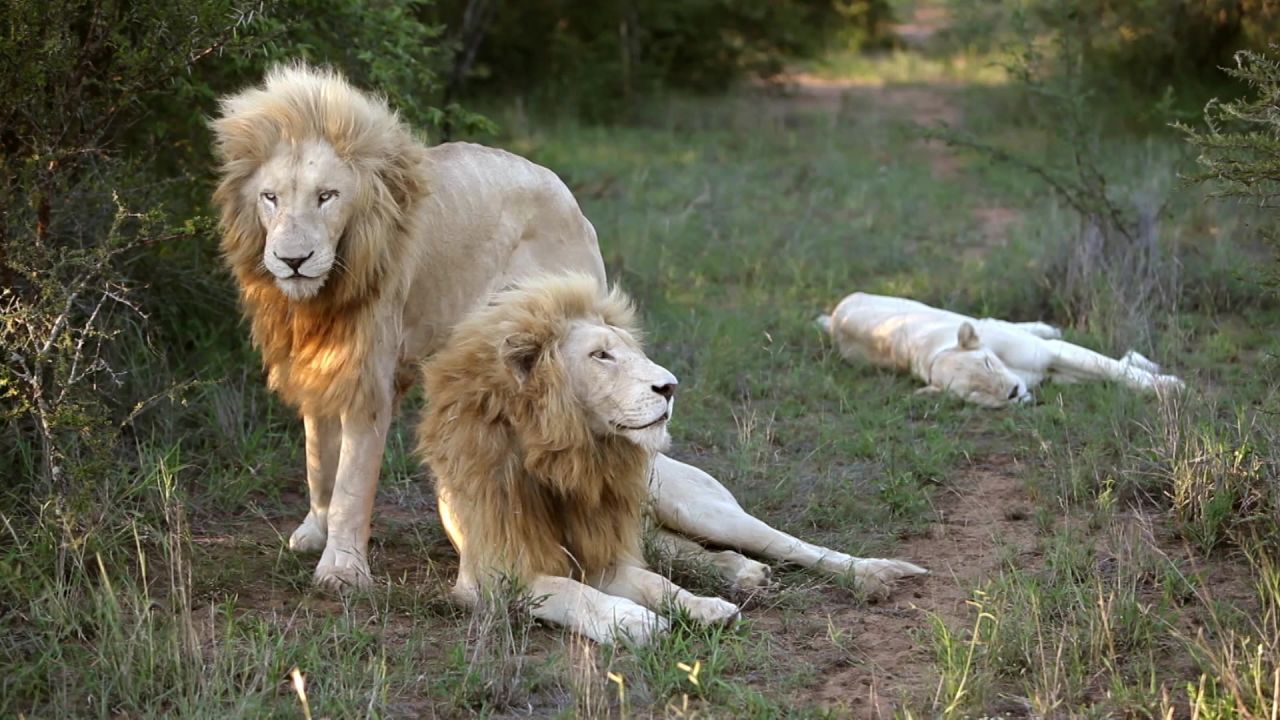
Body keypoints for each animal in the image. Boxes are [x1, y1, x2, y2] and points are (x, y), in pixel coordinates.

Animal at [814, 289, 1182, 404]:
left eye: (988, 365)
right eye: (976, 392)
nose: (1013, 393)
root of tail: (836, 314)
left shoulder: (1050, 354)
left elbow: (1113, 369)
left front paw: (1171, 387)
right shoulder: (1054, 373)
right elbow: (1106, 372)